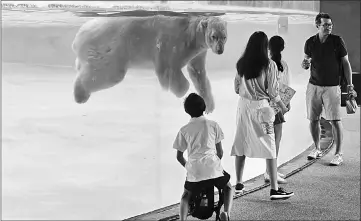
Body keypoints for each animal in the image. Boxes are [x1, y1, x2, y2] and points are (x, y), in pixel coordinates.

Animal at [71, 15, 226, 113]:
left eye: (224, 37)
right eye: (214, 36)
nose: (220, 50)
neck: (191, 35)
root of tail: (80, 34)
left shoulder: (199, 52)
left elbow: (197, 72)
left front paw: (209, 106)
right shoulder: (173, 44)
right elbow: (169, 68)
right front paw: (180, 91)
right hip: (111, 48)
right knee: (110, 73)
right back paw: (80, 95)